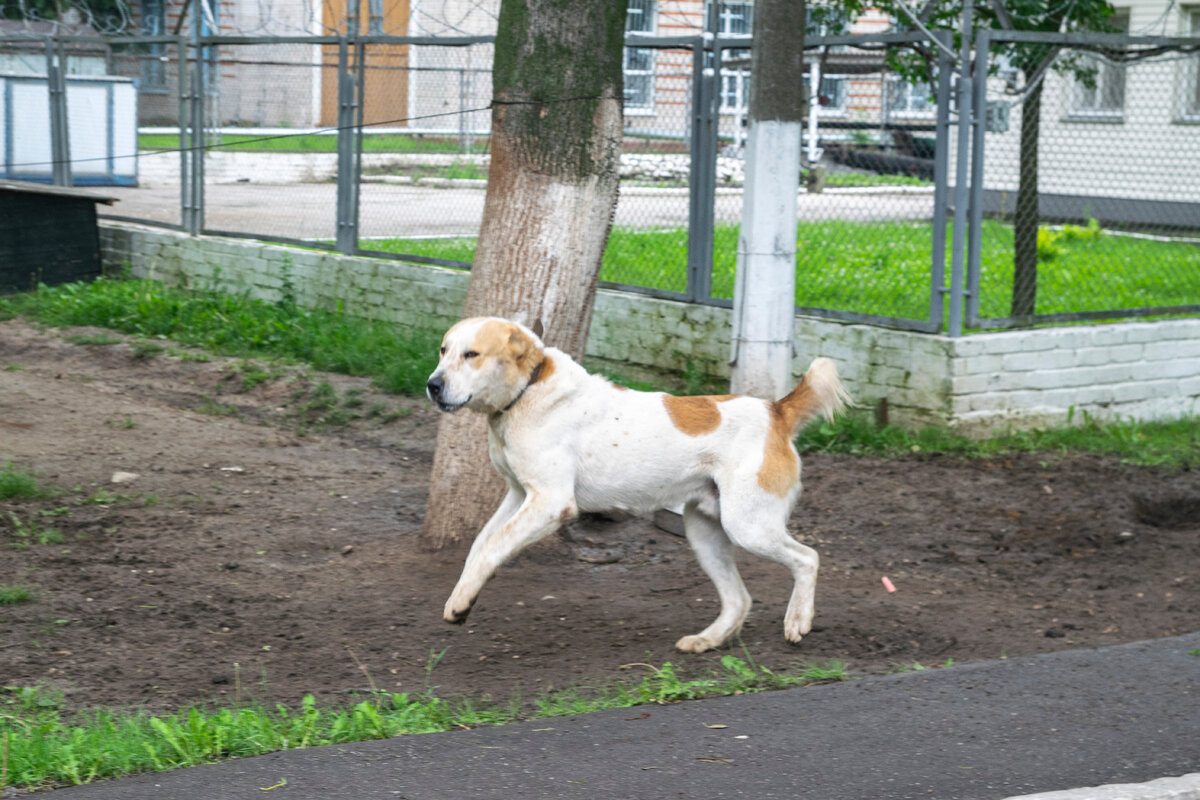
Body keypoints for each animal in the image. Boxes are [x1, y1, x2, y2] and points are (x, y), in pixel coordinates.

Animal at [427, 316, 849, 652]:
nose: (432, 384)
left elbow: (491, 547)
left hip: (748, 527)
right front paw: (462, 599)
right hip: (705, 532)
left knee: (808, 558)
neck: (527, 389)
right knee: (739, 600)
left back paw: (798, 621)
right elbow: (480, 546)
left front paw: (462, 601)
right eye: (443, 350)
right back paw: (707, 640)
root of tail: (777, 410)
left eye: (472, 354)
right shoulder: (518, 496)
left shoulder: (550, 503)